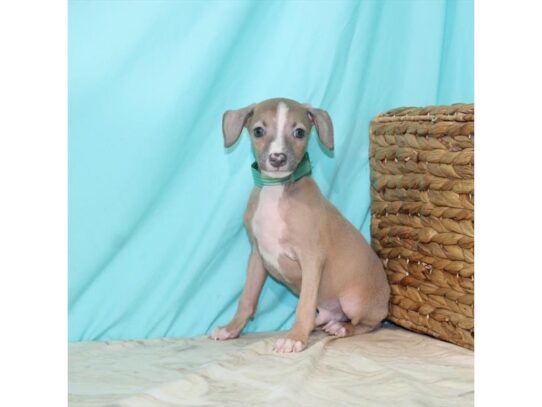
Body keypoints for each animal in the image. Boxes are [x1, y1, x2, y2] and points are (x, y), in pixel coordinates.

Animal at [209, 99, 392, 354]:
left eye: (299, 132)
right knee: (326, 315)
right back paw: (321, 323)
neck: (276, 190)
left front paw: (295, 337)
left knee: (368, 324)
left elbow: (304, 303)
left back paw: (341, 327)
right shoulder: (257, 255)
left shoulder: (311, 258)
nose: (277, 158)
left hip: (354, 301)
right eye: (258, 131)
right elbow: (247, 298)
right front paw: (231, 329)